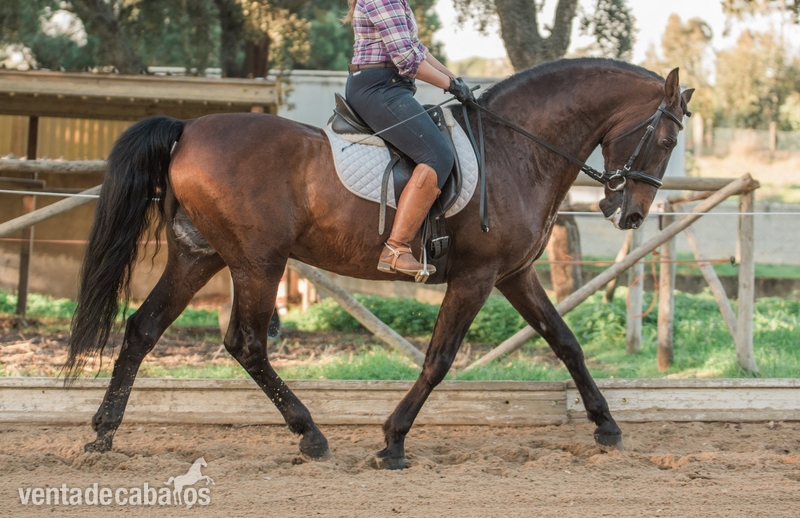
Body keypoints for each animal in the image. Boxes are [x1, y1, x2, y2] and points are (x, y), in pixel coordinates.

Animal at [66, 58, 693, 470]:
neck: (517, 150)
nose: (629, 214)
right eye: (665, 139)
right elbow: (439, 359)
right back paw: (310, 435)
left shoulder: (513, 275)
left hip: (200, 255)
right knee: (245, 343)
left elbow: (566, 342)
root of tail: (189, 129)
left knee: (143, 328)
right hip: (257, 262)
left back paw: (102, 435)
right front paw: (392, 441)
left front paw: (607, 426)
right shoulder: (476, 277)